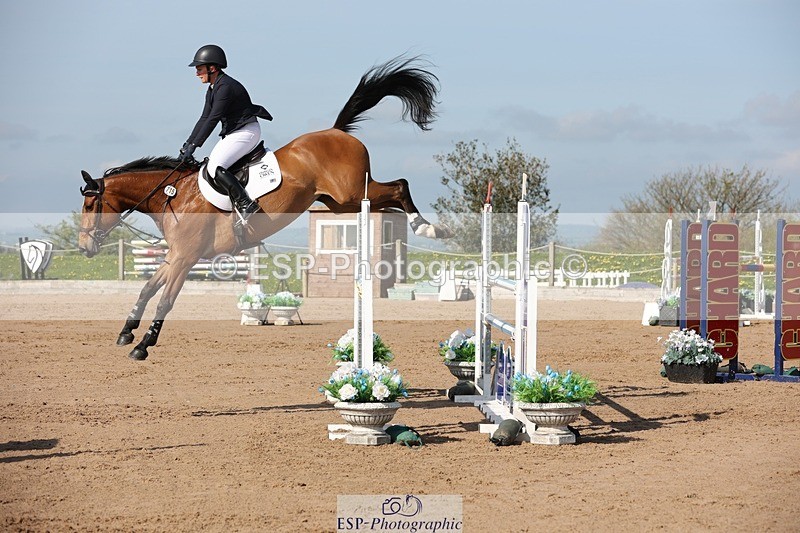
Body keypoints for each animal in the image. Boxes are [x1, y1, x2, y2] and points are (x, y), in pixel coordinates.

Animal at [78, 56, 451, 360]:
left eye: (91, 204)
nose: (83, 248)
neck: (173, 195)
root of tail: (336, 131)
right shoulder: (174, 257)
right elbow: (146, 289)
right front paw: (126, 332)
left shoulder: (186, 258)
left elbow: (165, 300)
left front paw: (143, 345)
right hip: (337, 201)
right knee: (392, 194)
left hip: (349, 192)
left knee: (400, 185)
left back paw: (430, 228)